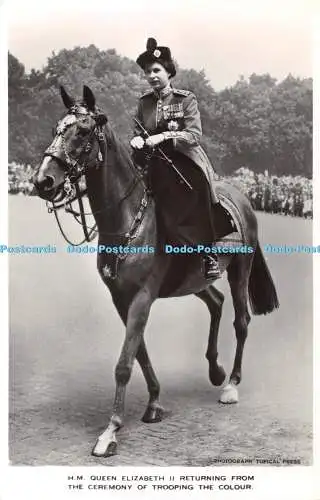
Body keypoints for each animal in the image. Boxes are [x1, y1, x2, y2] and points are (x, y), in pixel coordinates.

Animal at [31, 85, 278, 458]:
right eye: (57, 128)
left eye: (84, 131)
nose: (43, 180)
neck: (128, 219)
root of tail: (242, 197)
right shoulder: (123, 299)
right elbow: (140, 352)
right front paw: (154, 403)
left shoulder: (143, 297)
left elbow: (124, 363)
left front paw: (110, 431)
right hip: (196, 280)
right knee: (216, 303)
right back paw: (215, 370)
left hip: (241, 270)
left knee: (241, 321)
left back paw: (231, 384)